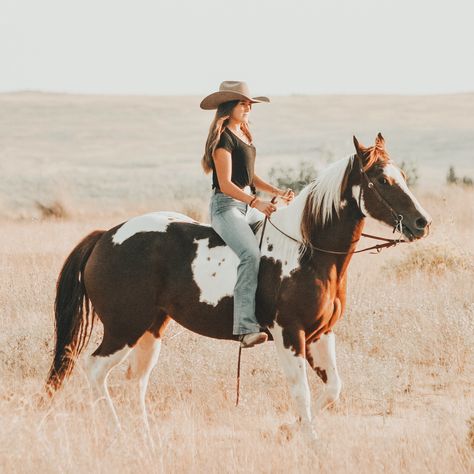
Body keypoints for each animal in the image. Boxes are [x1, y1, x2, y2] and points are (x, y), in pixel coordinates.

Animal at [46, 132, 432, 436]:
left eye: (401, 175)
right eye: (382, 180)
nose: (422, 222)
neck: (308, 252)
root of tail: (105, 237)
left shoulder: (320, 335)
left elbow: (333, 388)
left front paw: (289, 430)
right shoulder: (289, 333)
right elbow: (301, 392)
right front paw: (308, 440)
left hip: (151, 328)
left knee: (135, 381)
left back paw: (145, 439)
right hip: (124, 327)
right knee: (96, 370)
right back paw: (117, 433)